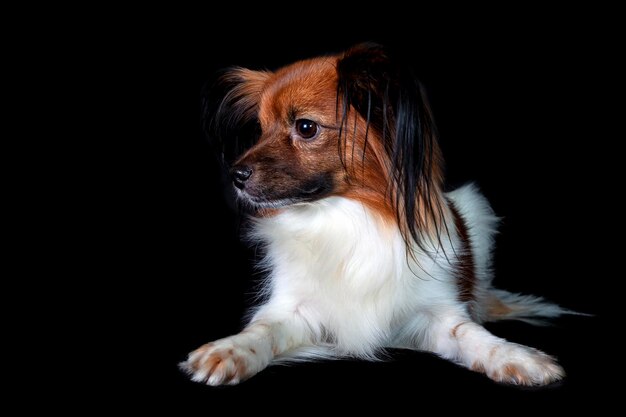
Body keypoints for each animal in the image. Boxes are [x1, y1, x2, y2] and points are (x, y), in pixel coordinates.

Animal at [178, 44, 572, 386]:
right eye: (260, 131)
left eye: (306, 127)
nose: (235, 175)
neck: (345, 216)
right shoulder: (293, 309)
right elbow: (262, 330)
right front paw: (229, 350)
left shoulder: (435, 313)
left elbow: (471, 334)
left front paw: (515, 356)